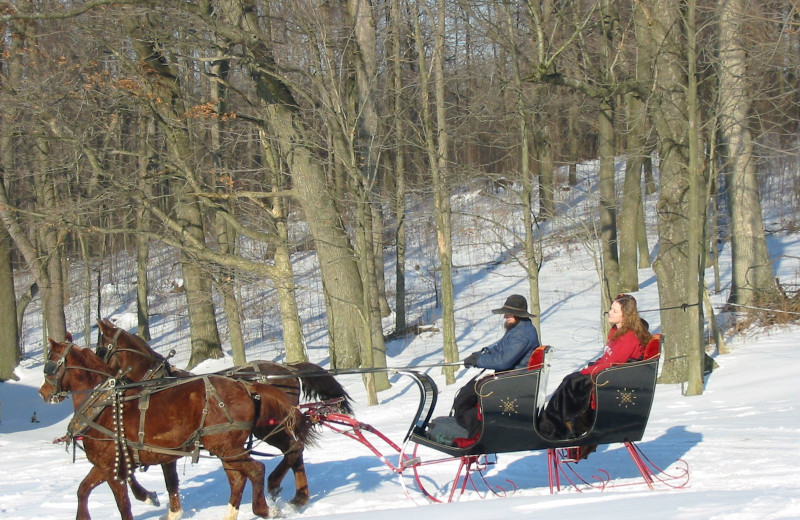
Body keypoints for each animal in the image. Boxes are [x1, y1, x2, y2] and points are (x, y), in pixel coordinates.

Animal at [39, 340, 310, 516]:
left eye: (49, 365)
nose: (43, 392)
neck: (104, 403)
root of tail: (247, 386)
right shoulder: (109, 464)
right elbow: (83, 490)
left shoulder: (112, 466)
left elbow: (125, 503)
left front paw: (153, 501)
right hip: (232, 446)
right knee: (254, 470)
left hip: (230, 445)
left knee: (259, 468)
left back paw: (266, 505)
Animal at [94, 318, 350, 506]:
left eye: (100, 350)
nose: (100, 386)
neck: (159, 384)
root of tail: (287, 367)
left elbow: (151, 476)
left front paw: (148, 497)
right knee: (295, 451)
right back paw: (298, 497)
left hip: (270, 427)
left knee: (294, 449)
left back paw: (278, 485)